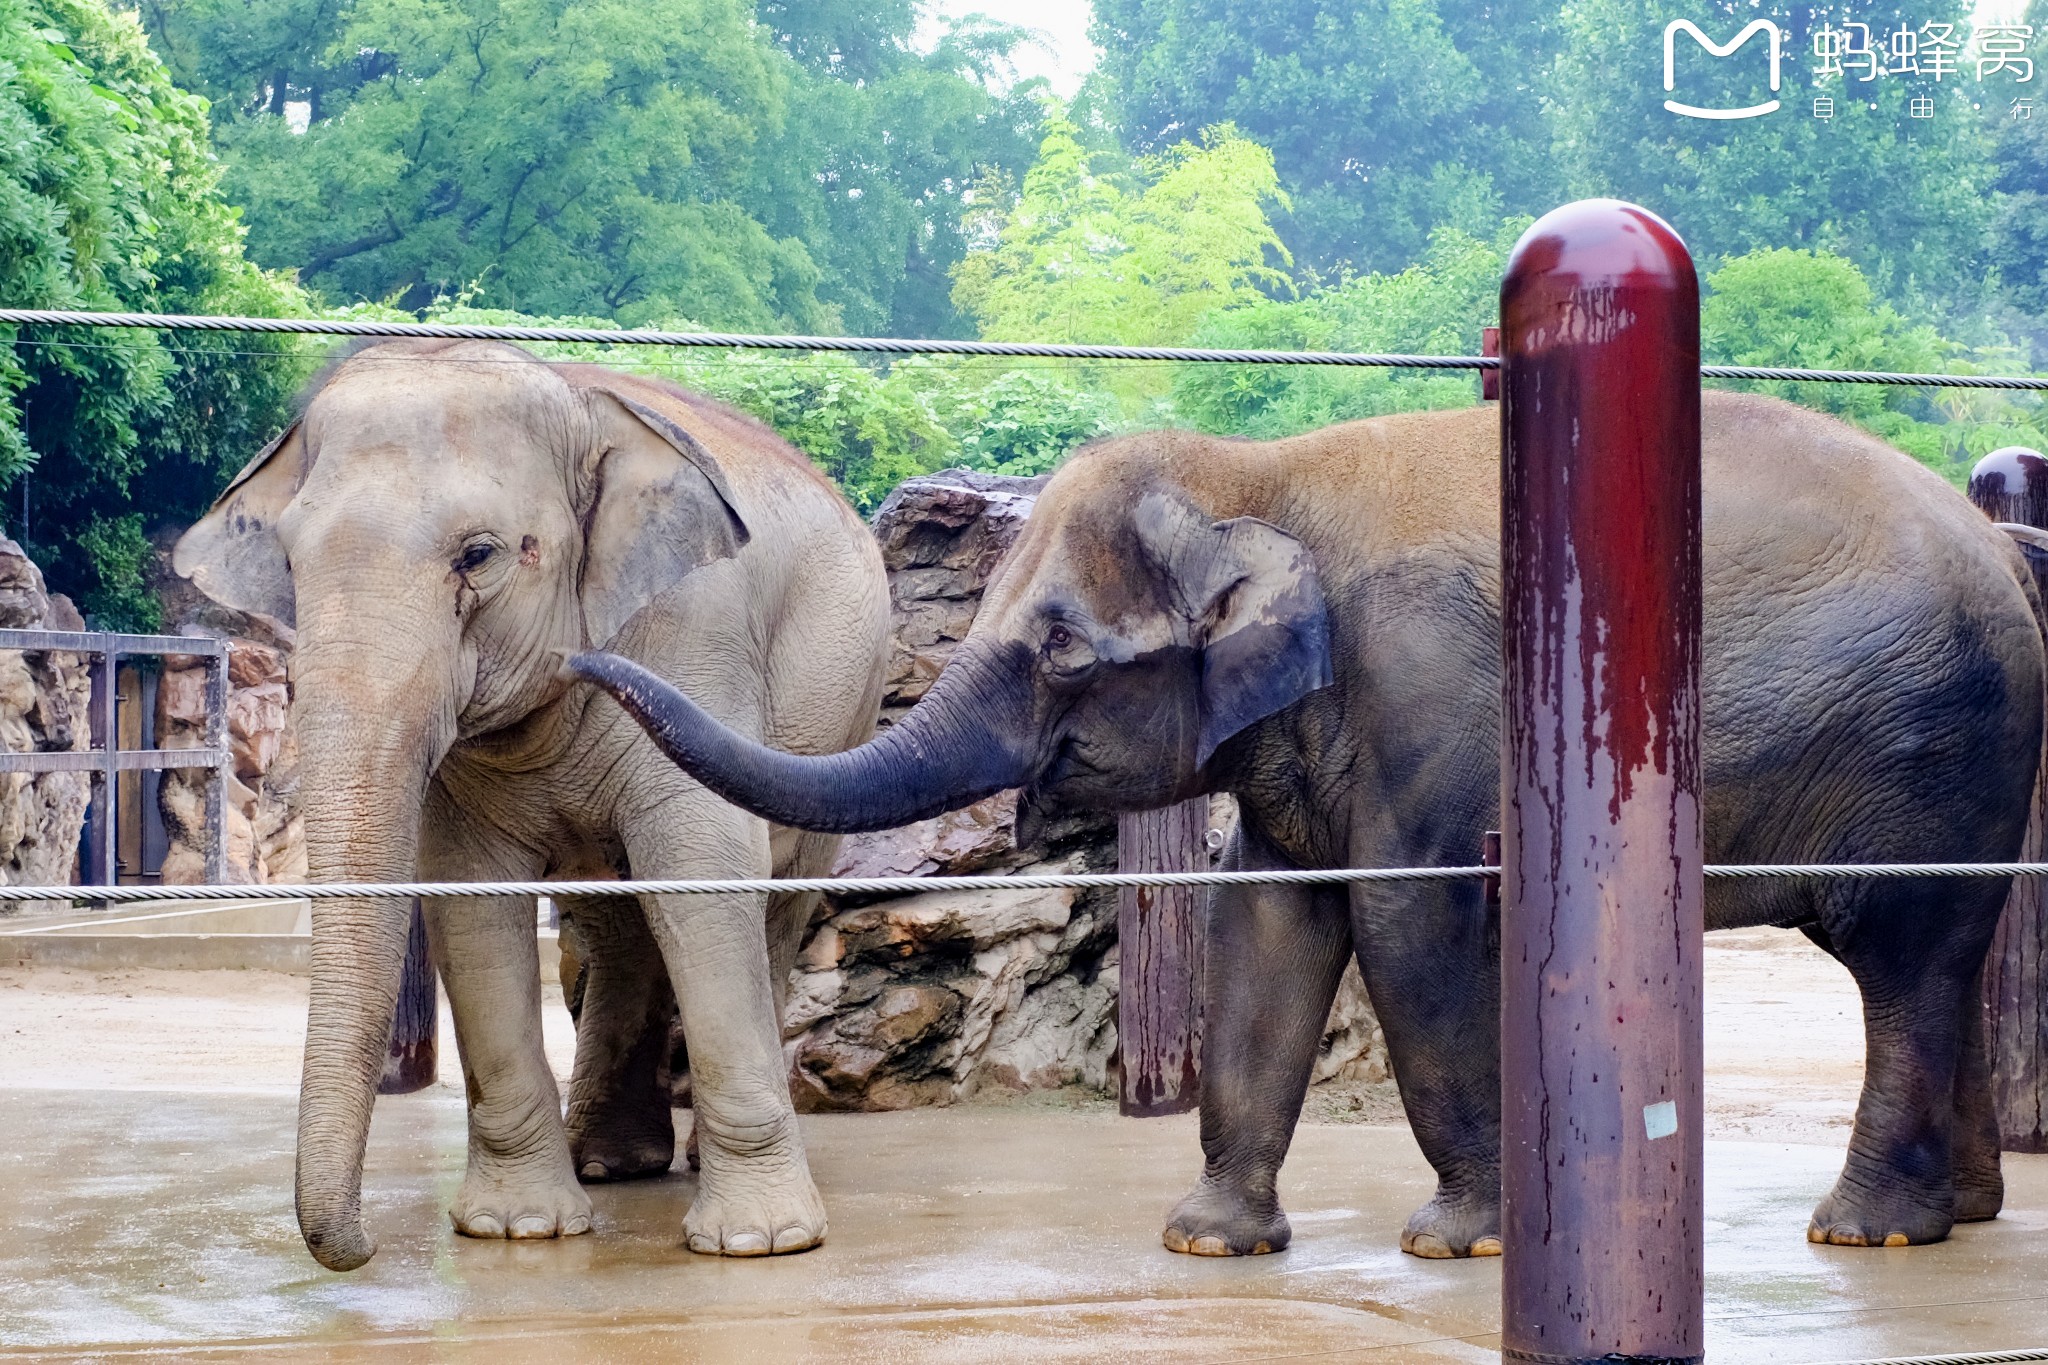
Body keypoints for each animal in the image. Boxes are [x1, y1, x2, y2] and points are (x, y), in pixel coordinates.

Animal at [167, 339, 888, 1268]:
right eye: (290, 559)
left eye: (479, 555)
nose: (363, 1246)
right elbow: (469, 898)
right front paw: (517, 1228)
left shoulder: (698, 635)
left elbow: (704, 870)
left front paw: (762, 1242)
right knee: (616, 922)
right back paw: (610, 1162)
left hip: (844, 717)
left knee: (775, 905)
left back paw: (688, 1164)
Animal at [565, 392, 2048, 1260]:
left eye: (1061, 648)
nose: (580, 661)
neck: (1262, 477)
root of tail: (2003, 559)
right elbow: (1267, 919)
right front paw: (1207, 1243)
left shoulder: (1431, 686)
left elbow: (1404, 916)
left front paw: (1457, 1245)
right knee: (1942, 962)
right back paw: (1954, 1217)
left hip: (1933, 745)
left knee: (1901, 961)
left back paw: (1860, 1233)